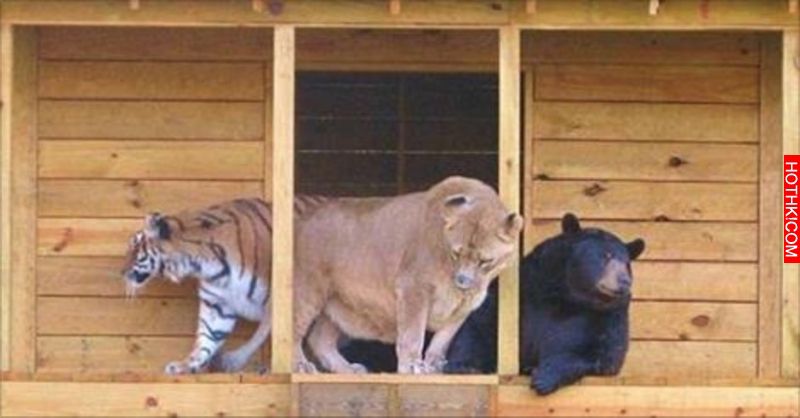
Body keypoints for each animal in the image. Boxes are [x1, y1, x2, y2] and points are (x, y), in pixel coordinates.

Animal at [121, 196, 327, 375]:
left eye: (135, 247)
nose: (121, 272)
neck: (204, 263)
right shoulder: (217, 303)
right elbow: (208, 337)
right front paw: (187, 364)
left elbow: (280, 331)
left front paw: (298, 365)